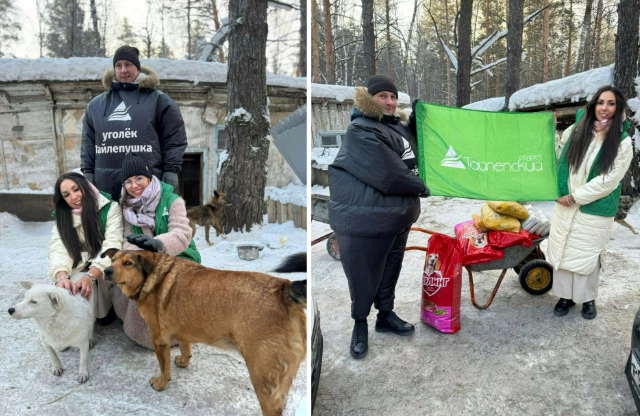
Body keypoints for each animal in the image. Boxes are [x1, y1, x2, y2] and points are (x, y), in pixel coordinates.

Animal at [101, 249, 306, 414]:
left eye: (128, 263)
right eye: (113, 260)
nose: (106, 271)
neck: (153, 275)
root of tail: (284, 289)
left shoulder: (159, 339)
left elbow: (164, 367)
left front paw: (161, 383)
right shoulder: (181, 326)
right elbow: (185, 346)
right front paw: (184, 361)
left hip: (263, 378)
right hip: (283, 379)